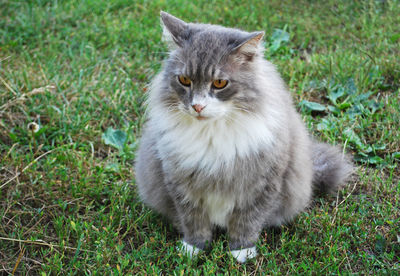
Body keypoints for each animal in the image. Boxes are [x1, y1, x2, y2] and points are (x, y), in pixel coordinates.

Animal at [135, 11, 354, 264]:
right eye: (184, 81)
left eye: (219, 83)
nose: (197, 106)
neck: (211, 134)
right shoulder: (181, 184)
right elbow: (194, 221)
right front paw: (193, 249)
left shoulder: (262, 184)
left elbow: (247, 221)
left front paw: (241, 252)